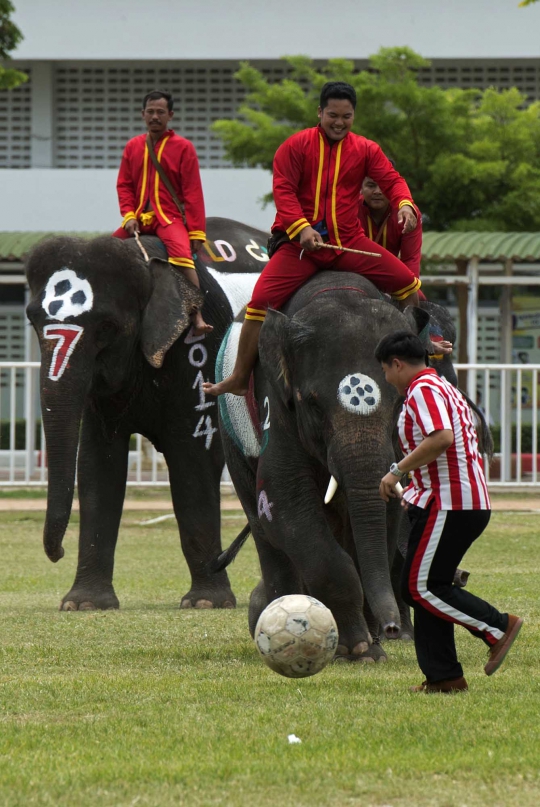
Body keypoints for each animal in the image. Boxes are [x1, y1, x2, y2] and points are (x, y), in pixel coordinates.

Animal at [24, 221, 266, 612]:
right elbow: (97, 463)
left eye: (107, 327)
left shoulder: (198, 352)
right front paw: (84, 605)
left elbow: (193, 459)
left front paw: (204, 604)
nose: (56, 554)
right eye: (32, 320)